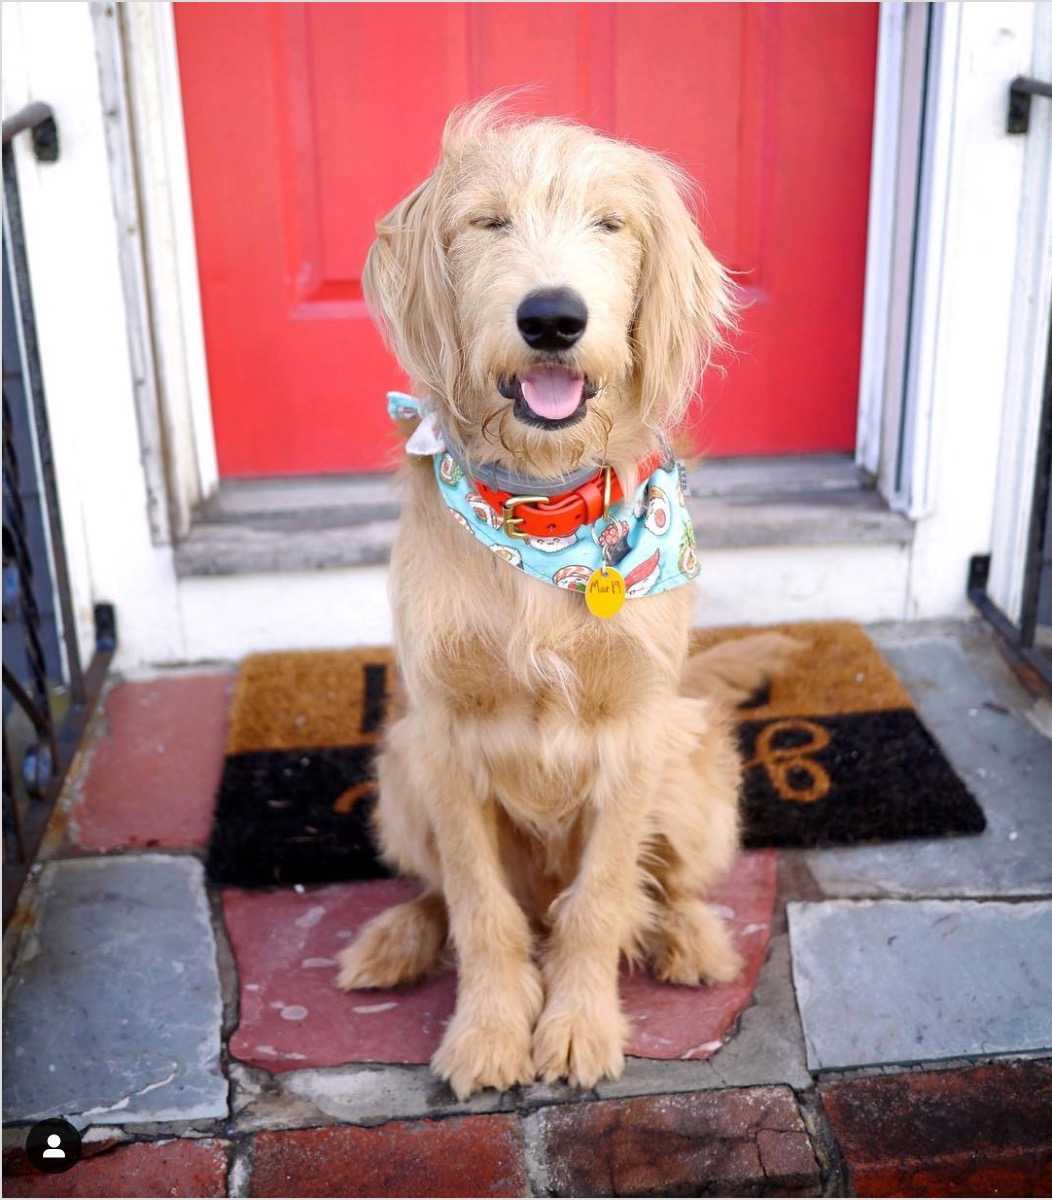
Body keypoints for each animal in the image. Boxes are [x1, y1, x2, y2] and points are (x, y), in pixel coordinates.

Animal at [335, 100, 796, 1099]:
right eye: (488, 223)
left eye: (610, 225)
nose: (551, 317)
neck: (544, 514)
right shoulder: (443, 737)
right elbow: (480, 907)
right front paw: (489, 1031)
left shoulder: (633, 737)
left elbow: (601, 900)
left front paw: (578, 1025)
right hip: (397, 771)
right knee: (440, 892)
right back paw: (395, 939)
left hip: (694, 773)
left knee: (664, 884)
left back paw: (690, 938)